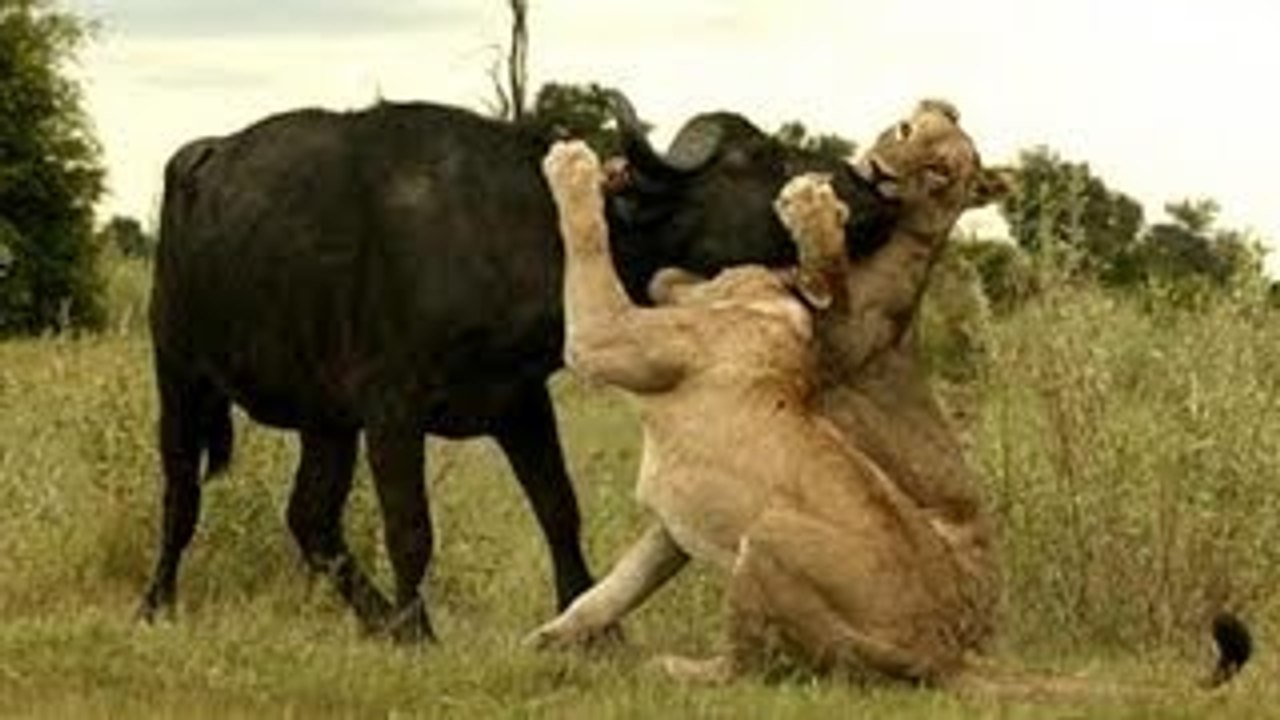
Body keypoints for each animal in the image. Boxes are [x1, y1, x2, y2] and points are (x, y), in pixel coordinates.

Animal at [141, 92, 898, 641]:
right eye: (754, 155)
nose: (865, 190)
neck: (510, 228)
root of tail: (199, 159)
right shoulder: (393, 408)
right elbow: (411, 528)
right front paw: (420, 632)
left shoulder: (520, 402)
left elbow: (559, 510)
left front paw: (598, 632)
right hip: (178, 374)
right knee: (182, 496)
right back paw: (159, 603)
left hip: (326, 419)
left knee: (312, 520)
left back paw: (375, 618)